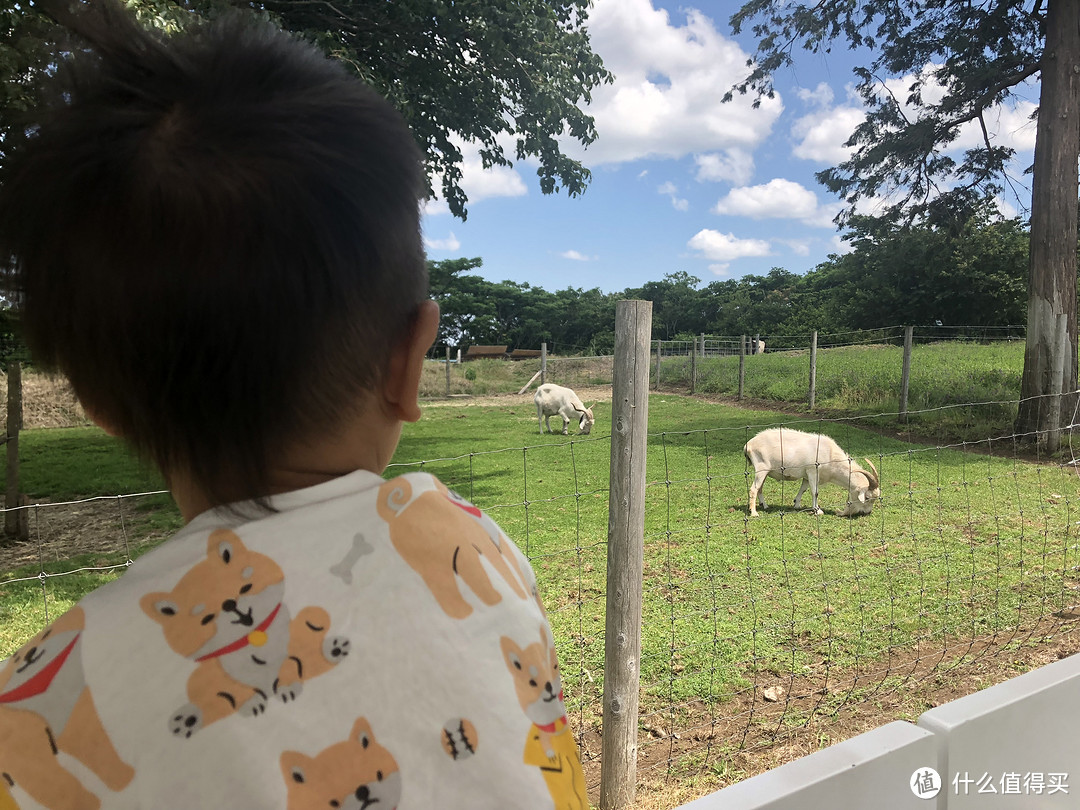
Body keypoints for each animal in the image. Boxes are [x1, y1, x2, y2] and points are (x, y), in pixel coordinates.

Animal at [747, 427, 881, 516]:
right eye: (867, 497)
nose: (867, 512)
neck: (830, 455)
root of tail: (748, 445)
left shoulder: (807, 475)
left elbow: (803, 489)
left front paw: (797, 504)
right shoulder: (812, 471)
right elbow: (814, 492)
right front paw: (818, 510)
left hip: (765, 471)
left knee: (760, 488)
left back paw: (764, 505)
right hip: (761, 468)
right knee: (754, 489)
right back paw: (754, 513)